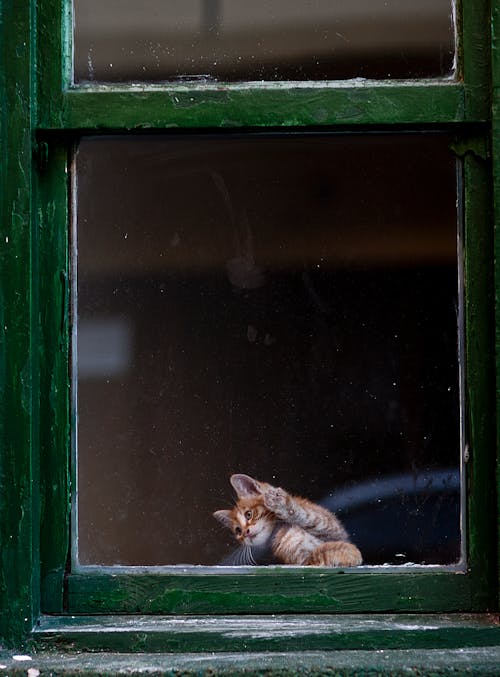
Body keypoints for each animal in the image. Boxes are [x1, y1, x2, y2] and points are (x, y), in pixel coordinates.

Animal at [213, 472, 362, 568]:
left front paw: (282, 505)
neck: (282, 529)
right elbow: (319, 553)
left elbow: (308, 516)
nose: (245, 533)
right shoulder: (304, 562)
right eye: (238, 530)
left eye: (248, 514)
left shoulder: (335, 531)